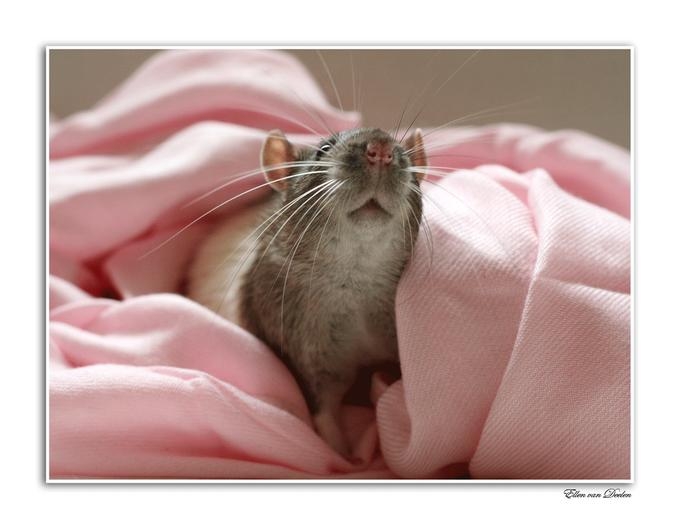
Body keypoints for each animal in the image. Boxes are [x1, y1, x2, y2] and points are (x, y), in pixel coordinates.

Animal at [186, 127, 427, 457]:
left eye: (405, 152)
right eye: (323, 149)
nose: (380, 149)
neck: (355, 279)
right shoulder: (300, 345)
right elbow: (321, 412)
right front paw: (344, 457)